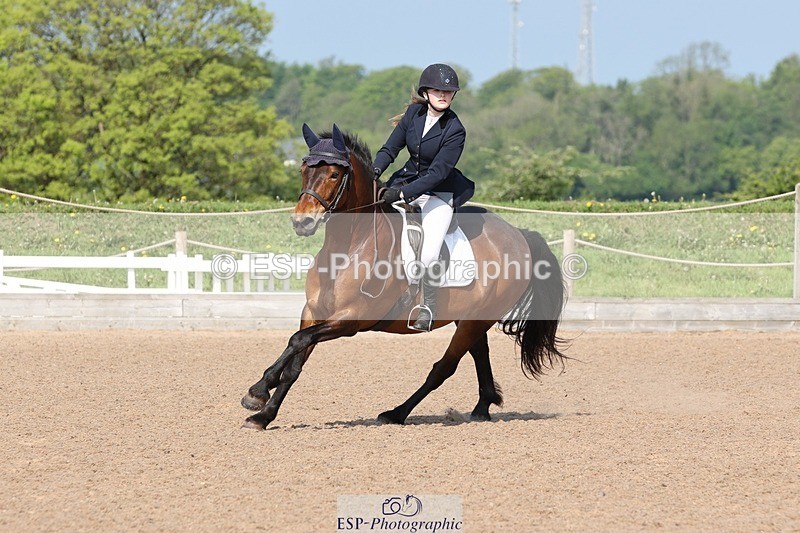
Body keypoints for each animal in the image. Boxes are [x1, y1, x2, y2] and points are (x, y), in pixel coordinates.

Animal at [240, 124, 568, 430]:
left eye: (334, 174)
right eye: (304, 170)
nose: (302, 222)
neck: (348, 247)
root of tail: (518, 234)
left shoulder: (350, 319)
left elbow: (297, 341)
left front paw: (258, 390)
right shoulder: (313, 313)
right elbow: (295, 360)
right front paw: (263, 414)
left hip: (476, 320)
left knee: (443, 368)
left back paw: (396, 413)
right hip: (471, 318)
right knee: (479, 354)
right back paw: (481, 409)